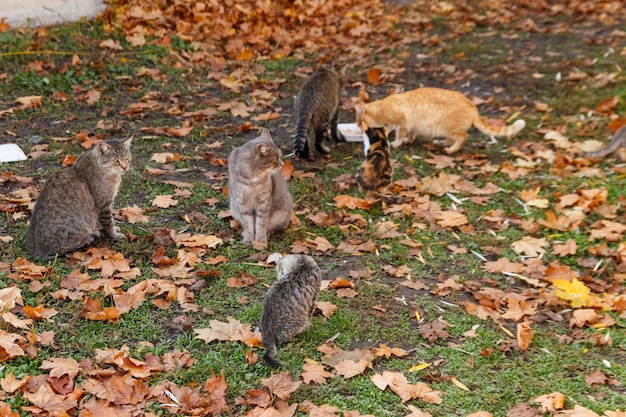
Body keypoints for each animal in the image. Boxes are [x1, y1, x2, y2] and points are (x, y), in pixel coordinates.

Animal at [354, 87, 524, 154]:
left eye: (359, 123)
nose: (359, 129)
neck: (382, 107)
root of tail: (472, 106)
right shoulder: (410, 126)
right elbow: (409, 133)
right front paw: (408, 140)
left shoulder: (402, 123)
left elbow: (399, 134)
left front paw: (397, 143)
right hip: (445, 130)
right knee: (453, 138)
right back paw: (440, 143)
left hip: (448, 128)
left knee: (463, 137)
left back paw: (451, 149)